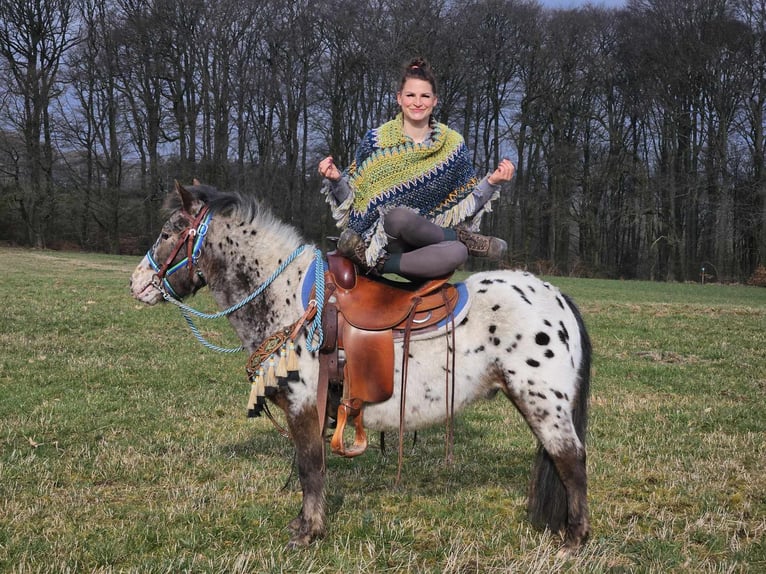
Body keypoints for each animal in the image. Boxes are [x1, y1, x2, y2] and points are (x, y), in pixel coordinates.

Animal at [130, 182, 592, 552]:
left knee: (570, 460)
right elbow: (312, 467)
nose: (137, 285)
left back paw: (574, 540)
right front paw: (305, 524)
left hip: (543, 402)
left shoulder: (304, 404)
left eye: (168, 232)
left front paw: (308, 533)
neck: (288, 298)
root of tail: (555, 296)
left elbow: (309, 466)